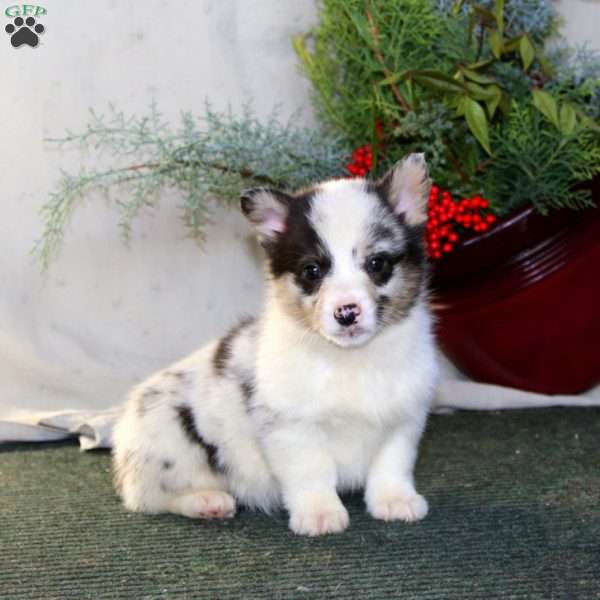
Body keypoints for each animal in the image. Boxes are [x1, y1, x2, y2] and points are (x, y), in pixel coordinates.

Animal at [112, 154, 438, 536]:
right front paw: (319, 514)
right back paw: (206, 501)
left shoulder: (403, 421)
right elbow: (312, 473)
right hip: (169, 443)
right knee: (150, 498)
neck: (350, 359)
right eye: (312, 271)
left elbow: (391, 466)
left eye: (377, 263)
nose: (346, 313)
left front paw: (395, 501)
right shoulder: (292, 428)